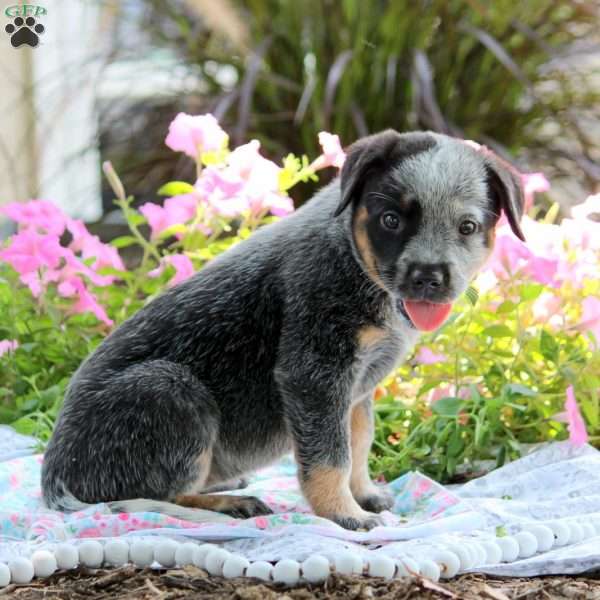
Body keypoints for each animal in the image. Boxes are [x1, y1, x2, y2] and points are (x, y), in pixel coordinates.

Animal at [39, 131, 524, 528]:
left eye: (467, 226)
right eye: (391, 220)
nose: (428, 277)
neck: (358, 267)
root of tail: (53, 479)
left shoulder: (357, 390)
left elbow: (358, 444)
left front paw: (362, 494)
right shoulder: (314, 376)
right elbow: (330, 457)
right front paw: (343, 513)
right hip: (168, 387)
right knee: (154, 496)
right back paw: (227, 504)